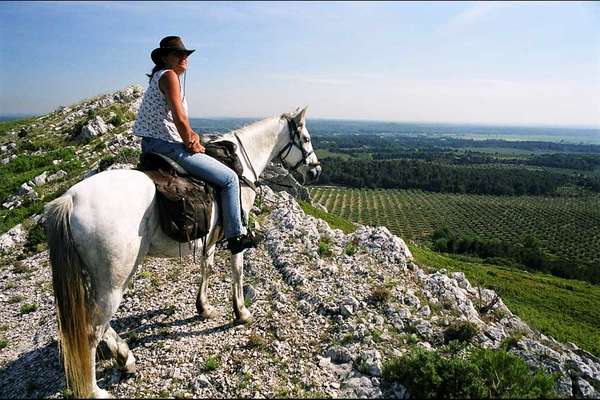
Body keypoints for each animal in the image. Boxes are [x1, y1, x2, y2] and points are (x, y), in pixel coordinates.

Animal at [44, 106, 322, 396]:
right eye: (305, 138)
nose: (316, 170)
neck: (240, 167)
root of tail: (71, 199)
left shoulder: (210, 238)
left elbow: (206, 267)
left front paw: (204, 307)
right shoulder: (236, 230)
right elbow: (237, 270)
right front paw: (241, 312)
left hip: (98, 281)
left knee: (95, 322)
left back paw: (125, 357)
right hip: (113, 282)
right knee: (92, 330)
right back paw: (96, 389)